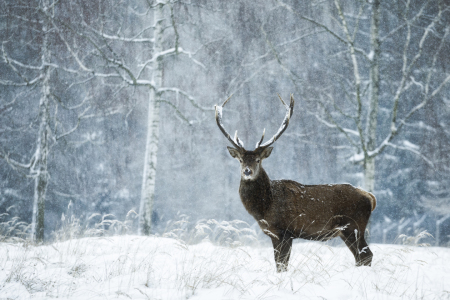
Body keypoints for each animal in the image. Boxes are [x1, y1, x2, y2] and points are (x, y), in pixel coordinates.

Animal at [214, 95, 376, 274]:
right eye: (241, 160)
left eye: (257, 160)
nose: (247, 171)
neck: (265, 207)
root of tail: (370, 197)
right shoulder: (274, 234)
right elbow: (278, 263)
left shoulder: (285, 231)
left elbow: (282, 264)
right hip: (347, 230)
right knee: (361, 257)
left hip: (353, 226)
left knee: (366, 255)